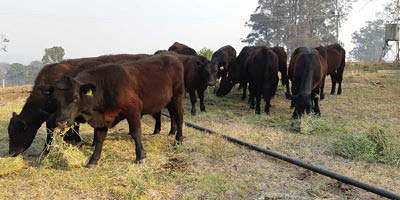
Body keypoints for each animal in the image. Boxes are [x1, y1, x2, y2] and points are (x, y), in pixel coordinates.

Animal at [48, 54, 184, 167]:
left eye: (75, 98)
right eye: (55, 99)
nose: (61, 122)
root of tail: (173, 57)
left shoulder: (133, 109)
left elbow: (136, 132)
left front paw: (140, 156)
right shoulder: (102, 119)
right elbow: (99, 139)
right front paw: (93, 160)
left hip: (177, 96)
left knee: (179, 117)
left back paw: (178, 140)